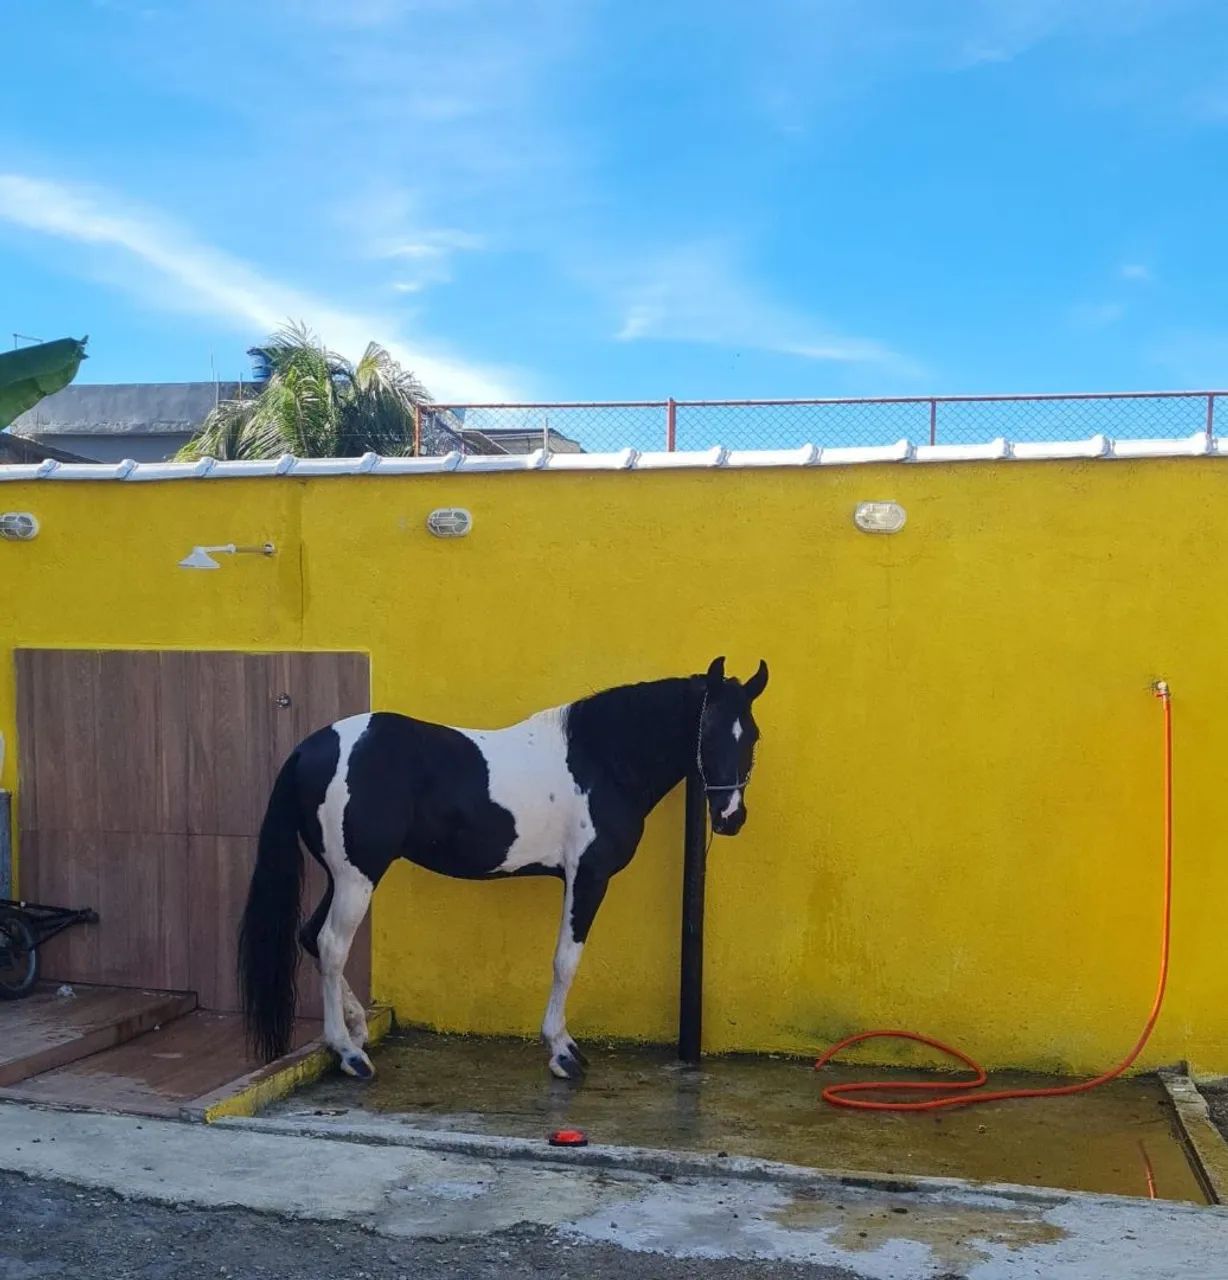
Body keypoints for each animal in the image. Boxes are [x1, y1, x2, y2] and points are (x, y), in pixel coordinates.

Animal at [238, 656, 768, 1080]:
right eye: (711, 730)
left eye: (752, 735)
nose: (731, 817)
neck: (602, 761)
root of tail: (309, 749)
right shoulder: (587, 876)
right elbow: (565, 960)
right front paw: (562, 1052)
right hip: (357, 876)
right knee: (331, 945)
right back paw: (349, 1055)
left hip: (345, 874)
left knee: (312, 936)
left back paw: (356, 1032)